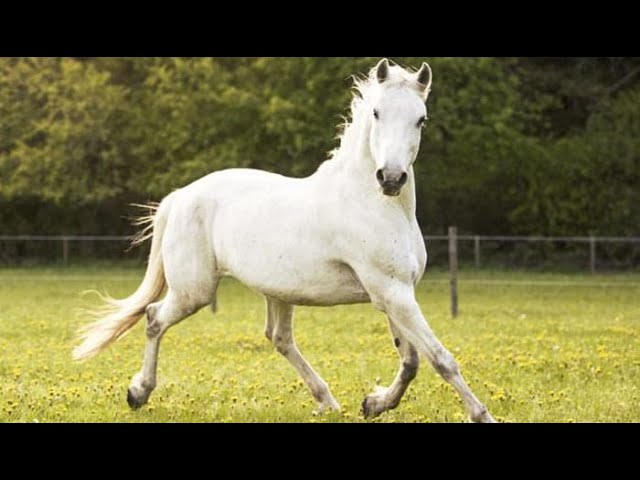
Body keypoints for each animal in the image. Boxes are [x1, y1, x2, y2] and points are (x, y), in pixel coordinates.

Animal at [74, 58, 496, 422]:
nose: (390, 178)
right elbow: (440, 359)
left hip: (278, 291)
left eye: (421, 119)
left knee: (278, 338)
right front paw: (482, 415)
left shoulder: (394, 293)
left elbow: (410, 361)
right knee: (153, 318)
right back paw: (138, 392)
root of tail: (181, 196)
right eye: (377, 113)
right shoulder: (392, 292)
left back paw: (327, 401)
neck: (373, 203)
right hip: (195, 291)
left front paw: (373, 403)